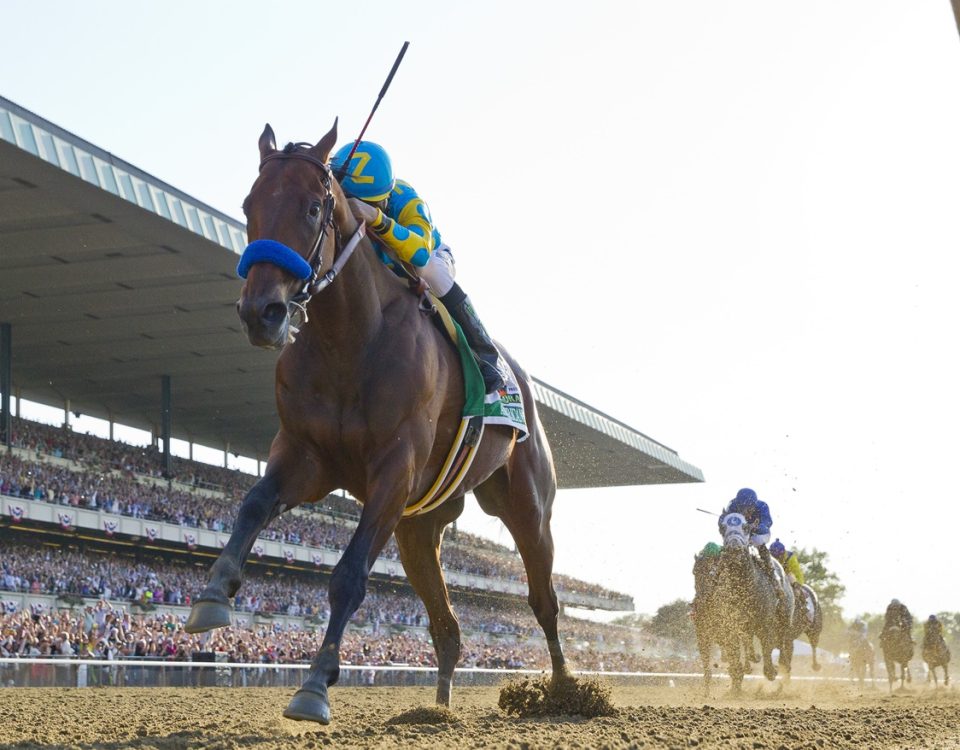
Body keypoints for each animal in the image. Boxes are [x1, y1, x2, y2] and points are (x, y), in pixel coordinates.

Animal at [184, 123, 568, 728]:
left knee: (543, 600)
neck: (351, 341)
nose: (261, 313)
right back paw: (437, 710)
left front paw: (315, 686)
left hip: (525, 504)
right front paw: (212, 596)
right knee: (447, 627)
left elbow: (348, 576)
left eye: (313, 207)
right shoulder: (306, 455)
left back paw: (565, 693)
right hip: (419, 528)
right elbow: (252, 503)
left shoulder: (393, 471)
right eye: (248, 205)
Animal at [712, 516, 796, 692]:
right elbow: (736, 651)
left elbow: (767, 648)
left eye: (746, 527)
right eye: (722, 528)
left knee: (784, 645)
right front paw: (737, 680)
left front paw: (771, 671)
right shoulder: (732, 624)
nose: (734, 547)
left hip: (785, 620)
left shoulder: (766, 623)